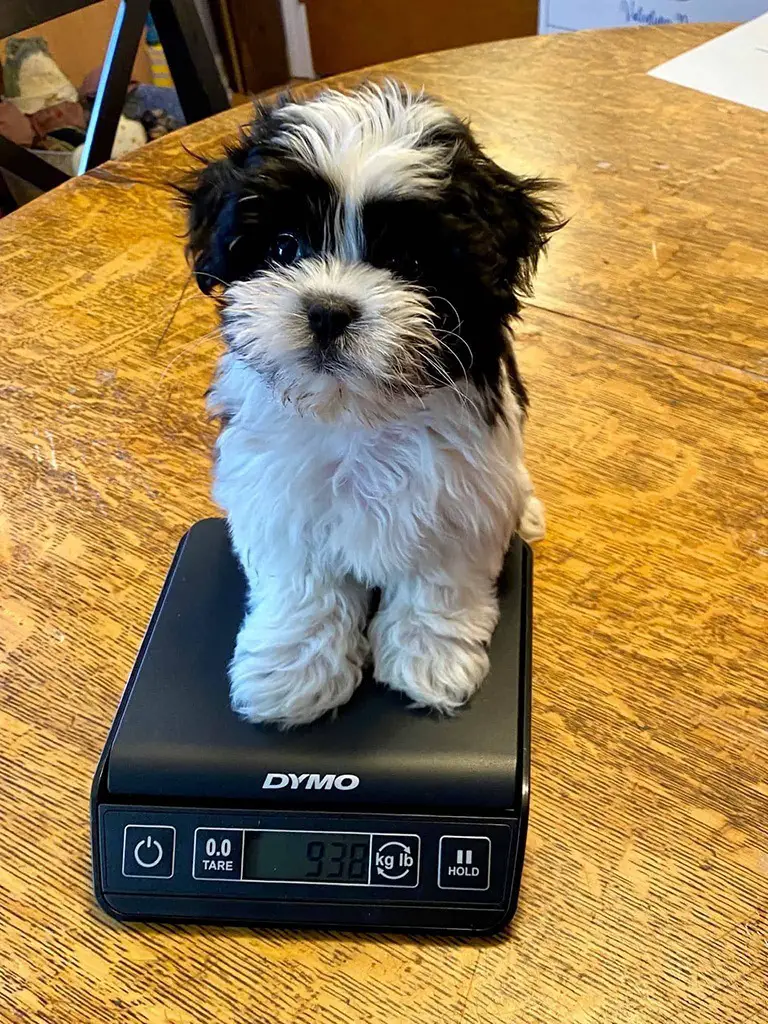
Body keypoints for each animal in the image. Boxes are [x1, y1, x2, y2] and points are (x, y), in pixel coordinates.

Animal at [184, 83, 561, 733]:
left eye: (409, 263)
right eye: (284, 246)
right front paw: (293, 670)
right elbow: (303, 587)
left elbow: (437, 582)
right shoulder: (280, 496)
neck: (359, 412)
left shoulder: (458, 495)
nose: (328, 310)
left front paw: (430, 658)